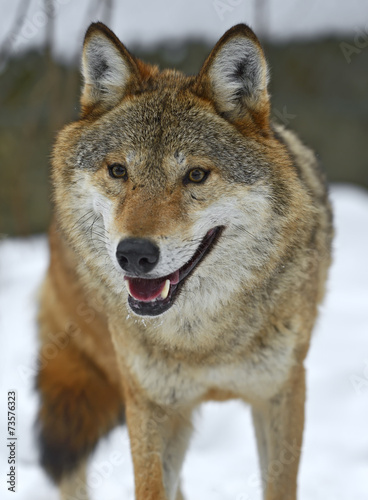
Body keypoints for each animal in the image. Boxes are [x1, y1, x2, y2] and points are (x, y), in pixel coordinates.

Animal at [36, 22, 334, 500]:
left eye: (195, 175)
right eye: (118, 171)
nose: (134, 254)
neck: (200, 342)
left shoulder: (281, 391)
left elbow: (279, 485)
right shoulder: (149, 403)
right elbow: (150, 488)